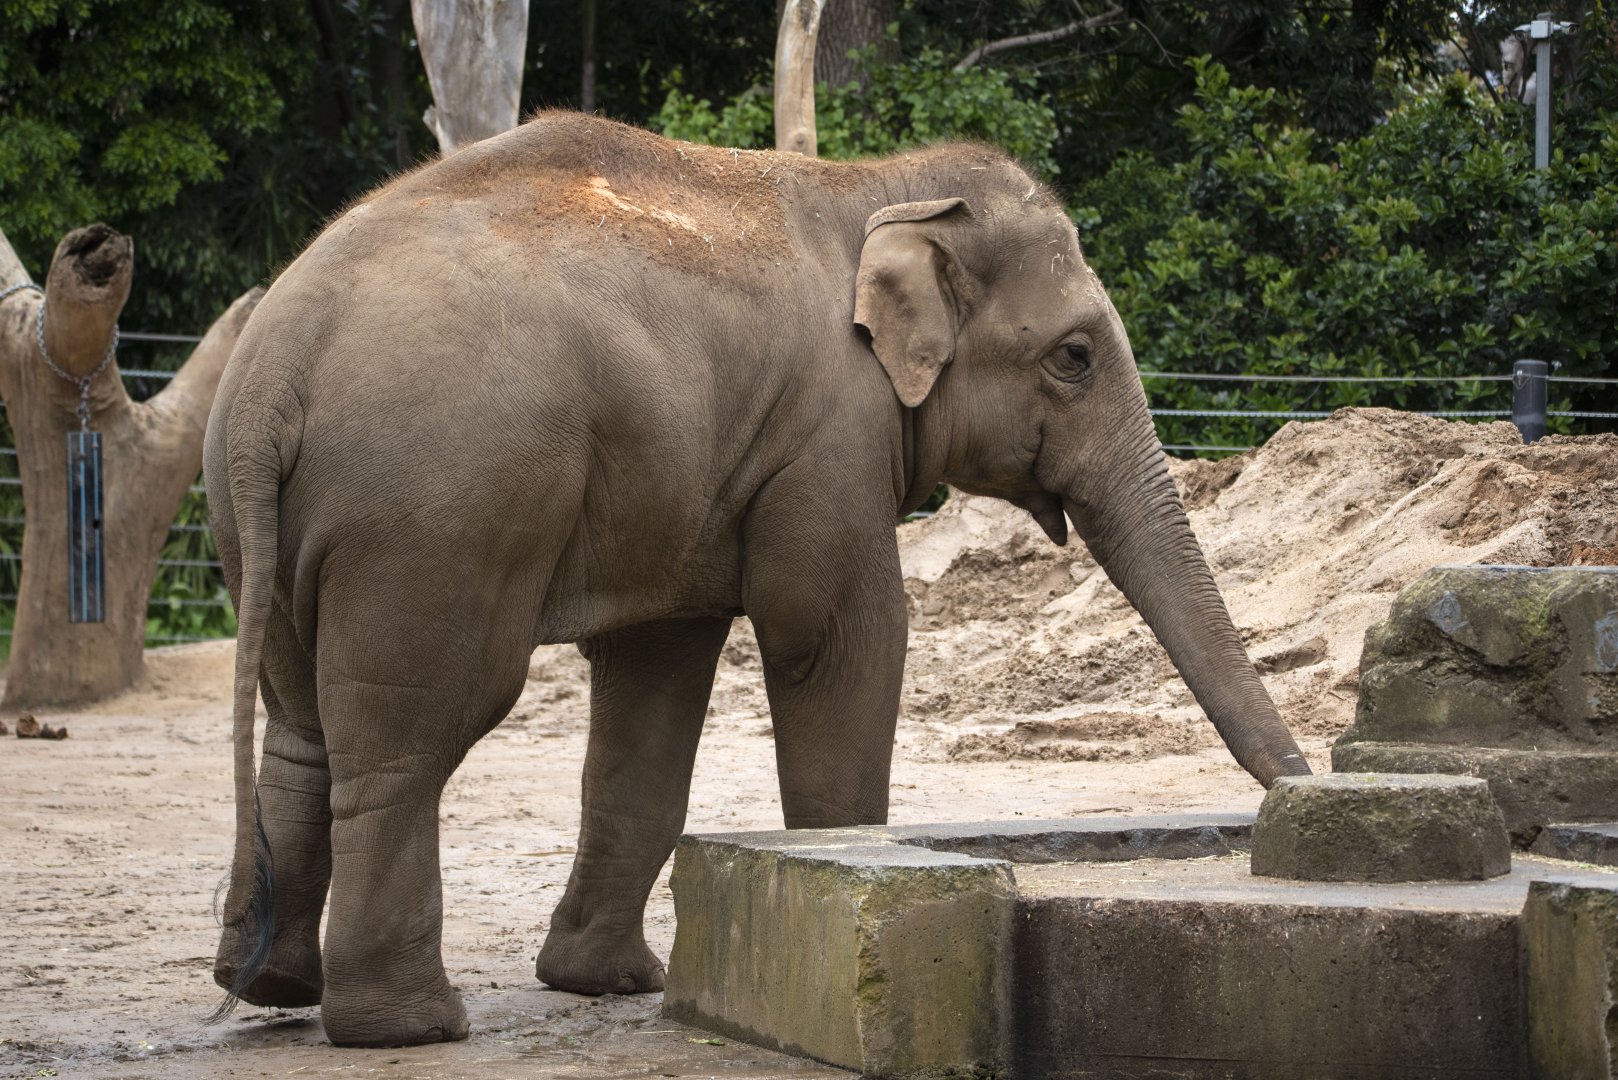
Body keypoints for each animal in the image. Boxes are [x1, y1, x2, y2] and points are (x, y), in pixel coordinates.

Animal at [203, 112, 1311, 1047]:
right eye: (1074, 357)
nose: (1295, 802)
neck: (880, 188)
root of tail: (274, 367)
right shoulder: (828, 432)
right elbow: (837, 634)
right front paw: (842, 877)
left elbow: (657, 675)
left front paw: (610, 983)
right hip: (434, 514)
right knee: (413, 736)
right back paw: (411, 1026)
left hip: (278, 524)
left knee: (301, 727)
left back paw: (271, 988)